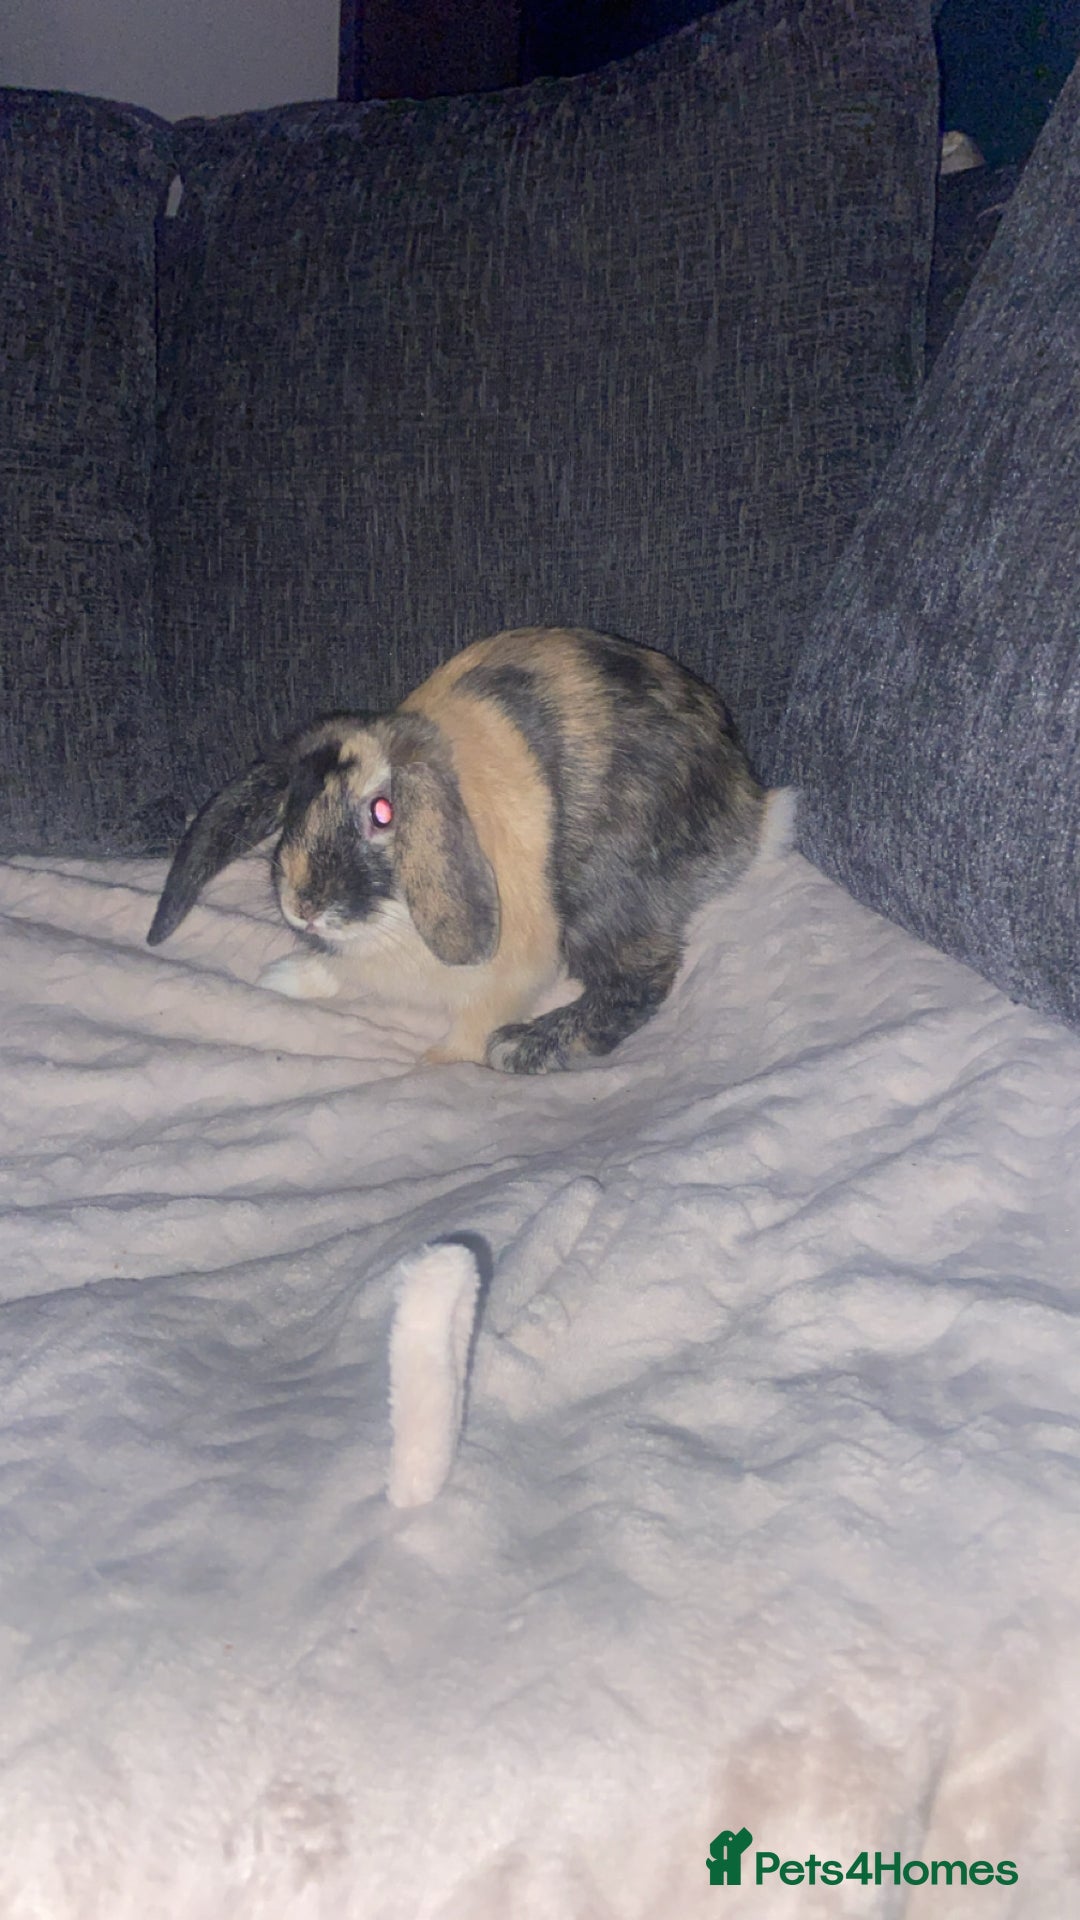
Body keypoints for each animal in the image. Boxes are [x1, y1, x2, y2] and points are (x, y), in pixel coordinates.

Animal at [147, 626, 772, 1073]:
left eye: (383, 812)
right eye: (293, 801)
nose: (302, 905)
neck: (395, 920)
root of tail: (748, 797)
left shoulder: (507, 976)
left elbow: (472, 1028)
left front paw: (434, 1065)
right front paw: (281, 976)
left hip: (607, 896)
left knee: (640, 982)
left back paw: (522, 1048)